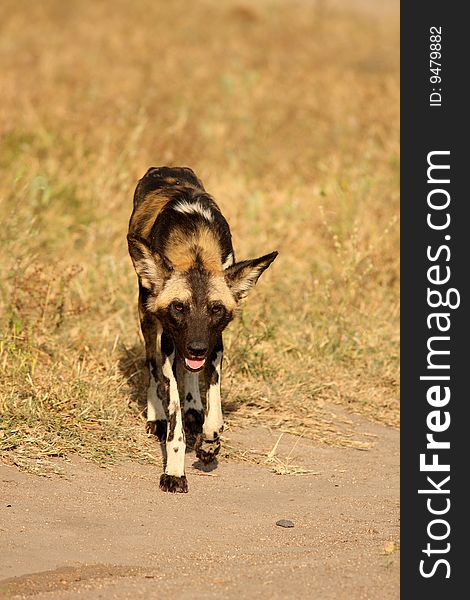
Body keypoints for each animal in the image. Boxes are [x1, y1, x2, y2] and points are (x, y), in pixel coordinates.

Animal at [126, 166, 278, 494]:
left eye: (215, 309)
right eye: (179, 307)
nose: (196, 348)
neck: (194, 251)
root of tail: (165, 168)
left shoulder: (215, 342)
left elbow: (215, 409)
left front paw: (209, 442)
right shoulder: (171, 343)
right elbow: (175, 422)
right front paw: (174, 471)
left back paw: (195, 408)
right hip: (149, 319)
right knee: (152, 366)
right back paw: (157, 416)